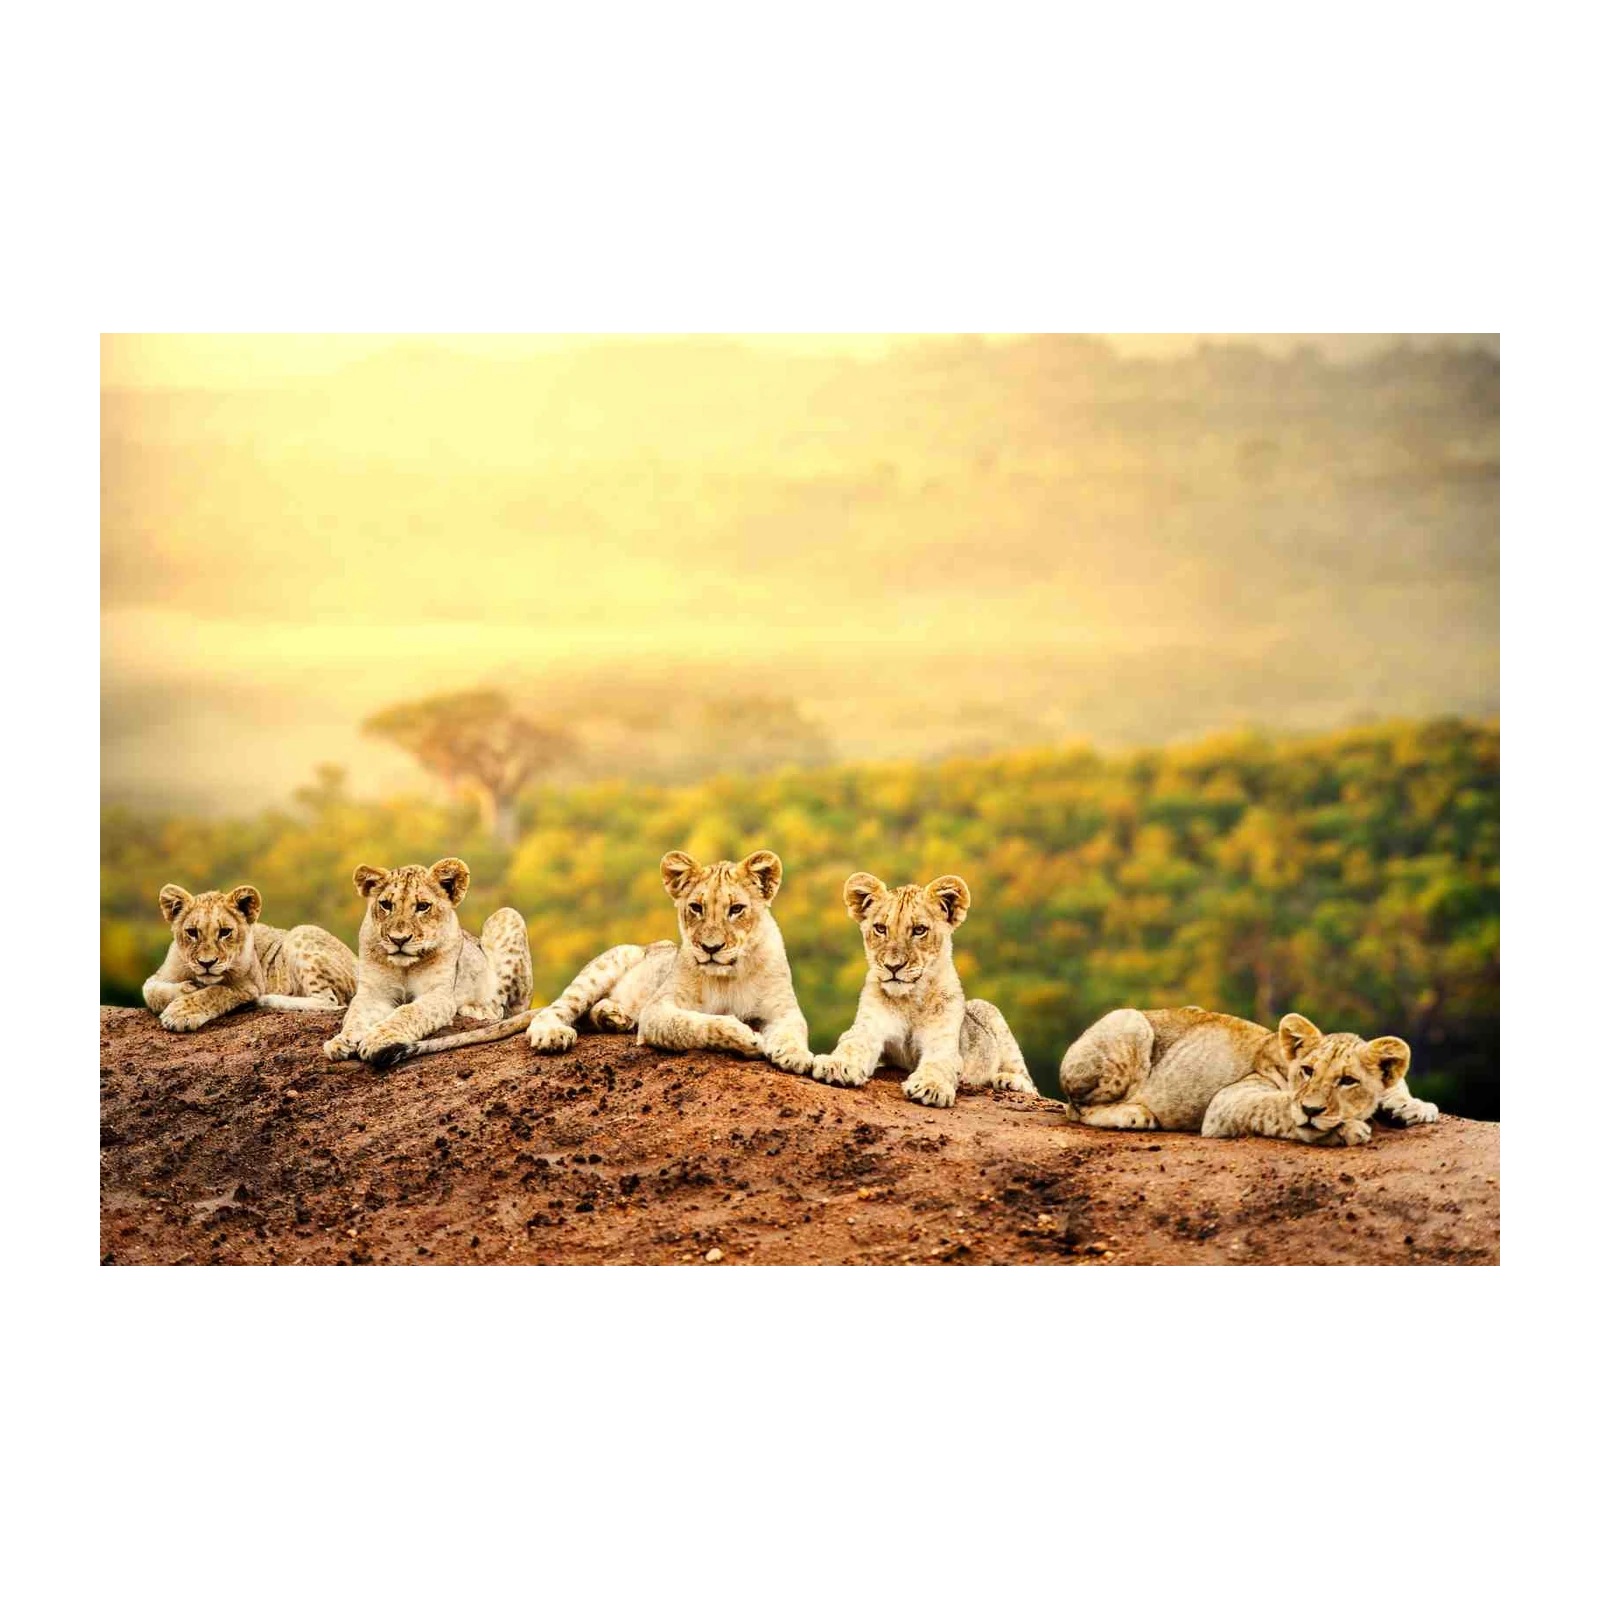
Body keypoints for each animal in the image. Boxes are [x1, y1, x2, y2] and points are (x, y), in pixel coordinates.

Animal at [142, 884, 357, 1032]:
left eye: (225, 932)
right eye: (192, 932)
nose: (206, 963)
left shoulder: (248, 985)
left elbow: (215, 992)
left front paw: (181, 1013)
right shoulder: (159, 975)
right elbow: (151, 992)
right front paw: (186, 989)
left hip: (301, 931)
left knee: (332, 1001)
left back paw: (266, 999)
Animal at [322, 858, 534, 1069]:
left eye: (423, 906)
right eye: (386, 904)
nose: (399, 939)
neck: (404, 967)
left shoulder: (439, 994)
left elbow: (409, 1012)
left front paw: (378, 1039)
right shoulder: (373, 994)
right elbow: (355, 1016)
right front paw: (342, 1041)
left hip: (507, 915)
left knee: (502, 1009)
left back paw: (477, 1009)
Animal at [524, 849, 812, 1074]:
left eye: (736, 909)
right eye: (696, 907)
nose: (711, 948)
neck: (728, 976)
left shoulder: (782, 1008)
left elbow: (794, 1030)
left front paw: (796, 1055)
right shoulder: (657, 1010)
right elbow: (697, 1023)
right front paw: (744, 1036)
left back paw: (614, 1017)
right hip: (604, 968)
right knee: (558, 1009)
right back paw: (553, 1033)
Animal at [810, 872, 1037, 1107]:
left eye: (919, 930)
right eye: (880, 928)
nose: (893, 966)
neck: (910, 998)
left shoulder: (944, 1043)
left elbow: (937, 1063)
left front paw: (931, 1087)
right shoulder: (869, 1027)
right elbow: (852, 1044)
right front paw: (836, 1065)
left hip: (991, 1013)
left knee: (1029, 1081)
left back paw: (1008, 1081)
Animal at [1056, 1006, 1440, 1144]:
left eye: (1347, 1081)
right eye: (1307, 1071)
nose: (1313, 1109)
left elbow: (1395, 1083)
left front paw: (1415, 1106)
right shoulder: (1226, 1103)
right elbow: (1280, 1107)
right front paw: (1343, 1128)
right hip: (1131, 1022)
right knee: (1076, 1108)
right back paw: (1134, 1114)